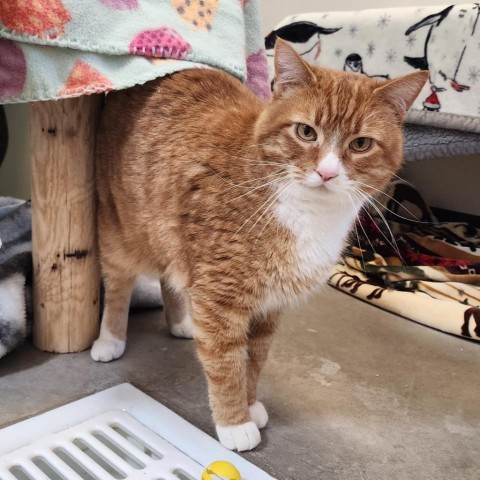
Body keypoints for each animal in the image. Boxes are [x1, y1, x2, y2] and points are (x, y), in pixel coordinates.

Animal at [92, 40, 430, 450]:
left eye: (361, 144)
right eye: (306, 132)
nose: (327, 173)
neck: (305, 211)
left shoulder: (269, 307)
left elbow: (253, 361)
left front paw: (250, 405)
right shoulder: (219, 299)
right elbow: (226, 364)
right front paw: (235, 423)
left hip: (170, 238)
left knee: (170, 274)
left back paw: (181, 321)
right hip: (118, 231)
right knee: (118, 286)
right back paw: (110, 340)